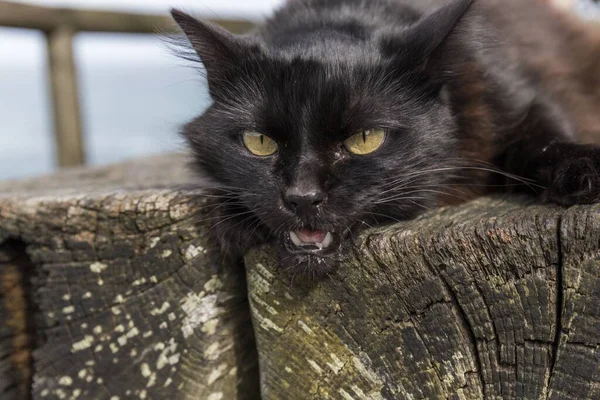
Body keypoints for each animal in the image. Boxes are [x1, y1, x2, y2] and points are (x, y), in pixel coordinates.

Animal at [169, 0, 600, 276]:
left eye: (365, 138)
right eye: (259, 142)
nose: (302, 197)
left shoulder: (518, 95)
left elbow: (542, 136)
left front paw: (583, 171)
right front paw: (234, 219)